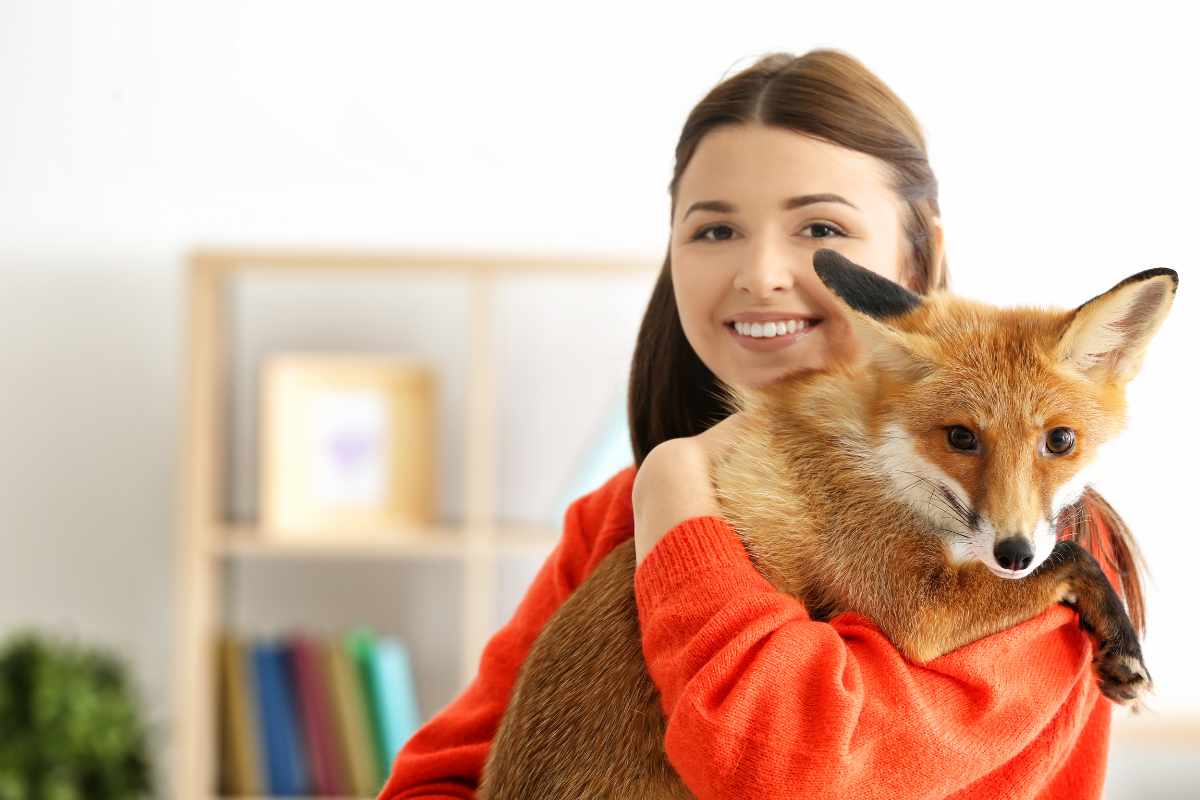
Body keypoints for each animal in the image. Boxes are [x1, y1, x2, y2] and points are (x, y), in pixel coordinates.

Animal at [477, 248, 1178, 800]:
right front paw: (1124, 645)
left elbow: (1066, 556)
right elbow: (1074, 558)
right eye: (961, 437)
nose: (1012, 552)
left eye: (1060, 441)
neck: (883, 458)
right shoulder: (916, 607)